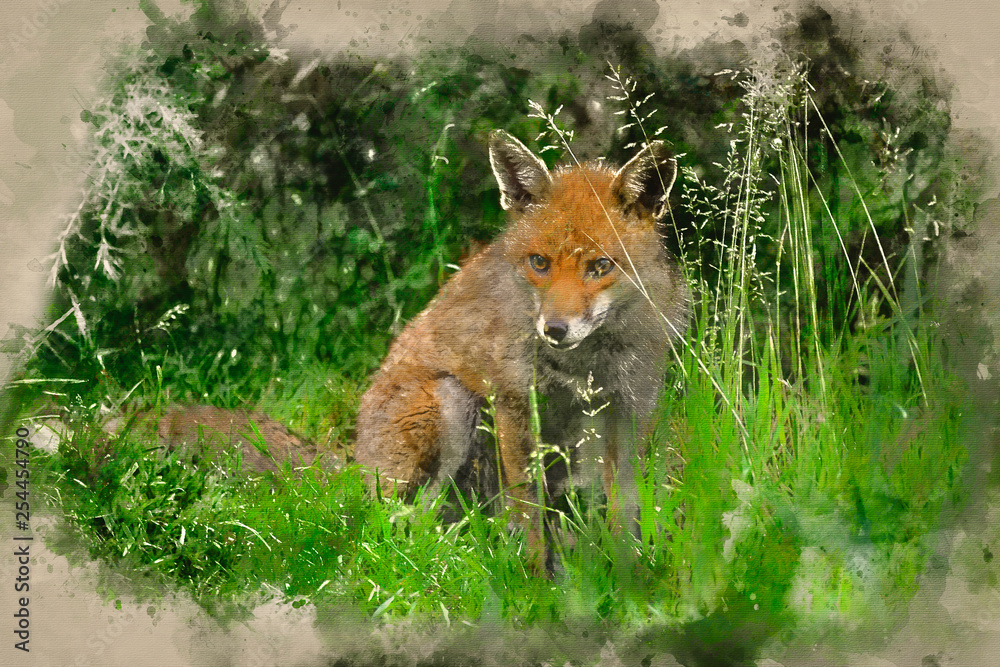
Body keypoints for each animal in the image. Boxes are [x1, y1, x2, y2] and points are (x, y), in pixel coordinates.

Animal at [354, 130, 691, 569]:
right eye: (539, 263)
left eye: (600, 266)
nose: (555, 330)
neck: (586, 366)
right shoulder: (515, 404)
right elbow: (529, 509)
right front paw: (535, 576)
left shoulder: (628, 409)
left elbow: (623, 506)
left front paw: (627, 571)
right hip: (451, 403)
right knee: (403, 526)